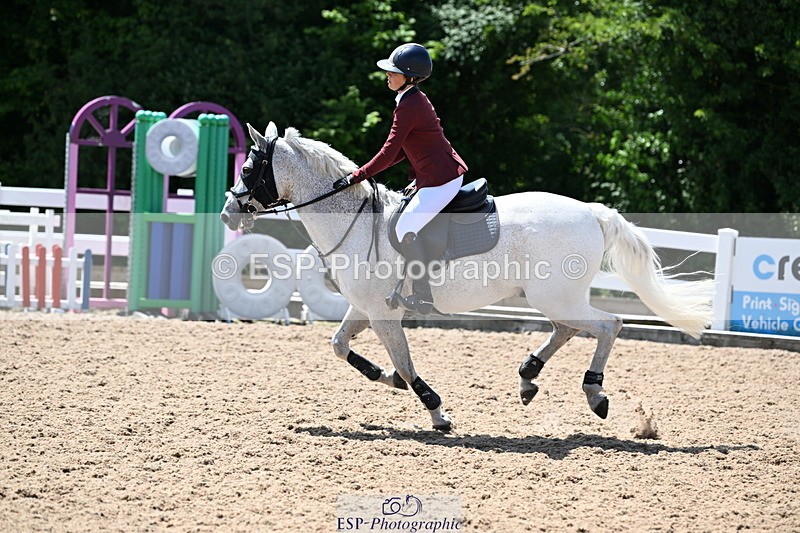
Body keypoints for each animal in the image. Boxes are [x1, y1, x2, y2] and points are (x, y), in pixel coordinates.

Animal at [219, 122, 713, 431]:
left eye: (249, 168)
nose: (227, 212)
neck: (355, 222)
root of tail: (593, 212)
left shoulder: (382, 314)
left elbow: (405, 362)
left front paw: (436, 412)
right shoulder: (365, 308)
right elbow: (340, 346)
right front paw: (386, 379)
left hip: (556, 296)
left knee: (608, 325)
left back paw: (594, 394)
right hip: (555, 297)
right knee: (569, 329)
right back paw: (528, 376)